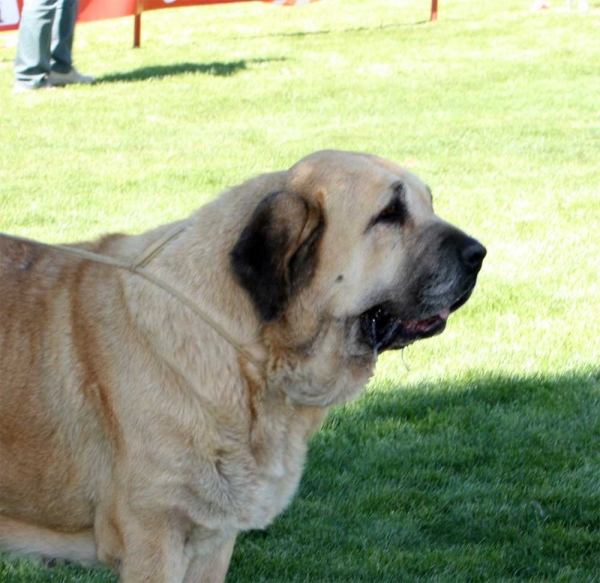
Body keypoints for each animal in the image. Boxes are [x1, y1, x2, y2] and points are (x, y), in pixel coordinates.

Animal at [0, 152, 486, 583]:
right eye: (389, 213)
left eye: (429, 204)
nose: (479, 253)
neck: (250, 359)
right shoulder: (154, 538)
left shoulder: (211, 542)